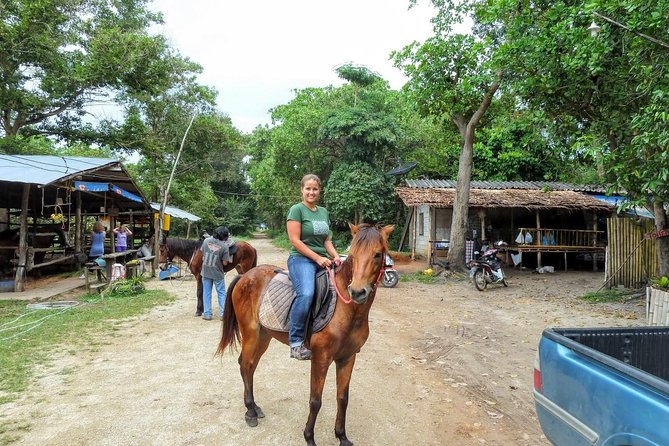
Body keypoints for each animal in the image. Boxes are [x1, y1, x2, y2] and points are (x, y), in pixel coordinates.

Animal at [215, 223, 392, 446]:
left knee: (249, 366)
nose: (357, 292)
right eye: (352, 254)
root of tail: (245, 276)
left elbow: (343, 398)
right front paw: (309, 438)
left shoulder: (348, 357)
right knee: (245, 365)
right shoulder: (321, 358)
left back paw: (254, 407)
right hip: (251, 334)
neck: (346, 309)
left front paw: (342, 436)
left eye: (377, 254)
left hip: (264, 336)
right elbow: (315, 401)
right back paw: (250, 412)